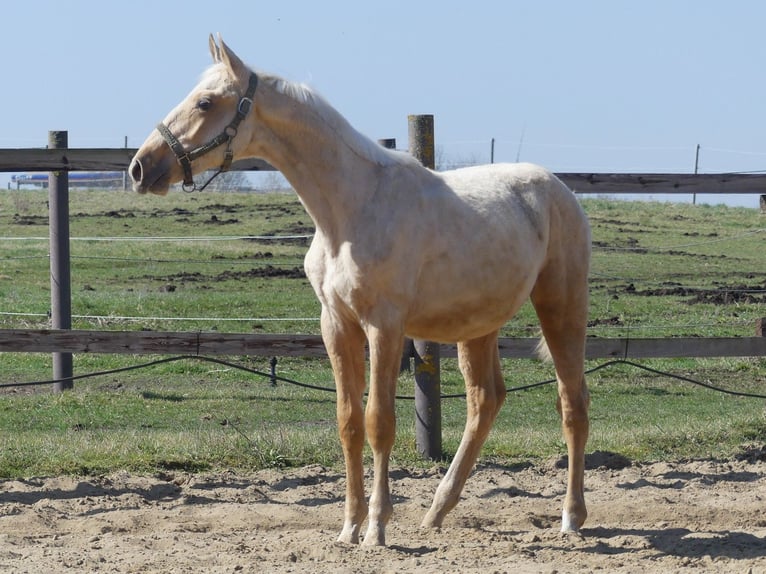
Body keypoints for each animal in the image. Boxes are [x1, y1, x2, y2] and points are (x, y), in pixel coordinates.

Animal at [129, 34, 592, 547]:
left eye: (206, 102)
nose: (141, 167)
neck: (349, 211)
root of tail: (560, 191)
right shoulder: (337, 325)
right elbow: (348, 422)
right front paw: (349, 526)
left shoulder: (384, 327)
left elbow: (378, 423)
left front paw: (376, 527)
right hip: (477, 326)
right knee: (485, 402)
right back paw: (437, 511)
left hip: (561, 306)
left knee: (572, 403)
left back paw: (571, 517)